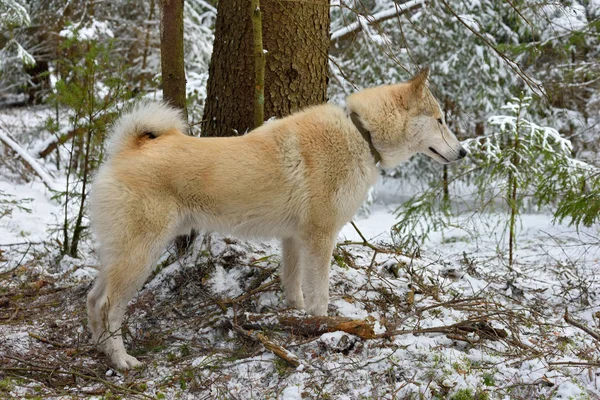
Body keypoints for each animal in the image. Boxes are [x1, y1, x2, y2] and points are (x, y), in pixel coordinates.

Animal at [86, 68, 466, 368]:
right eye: (440, 120)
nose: (464, 152)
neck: (362, 134)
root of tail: (128, 149)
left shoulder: (294, 240)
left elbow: (294, 289)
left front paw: (296, 320)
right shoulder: (319, 239)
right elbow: (319, 296)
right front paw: (324, 328)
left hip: (120, 255)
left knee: (92, 299)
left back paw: (101, 351)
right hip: (140, 256)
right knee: (107, 306)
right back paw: (121, 360)